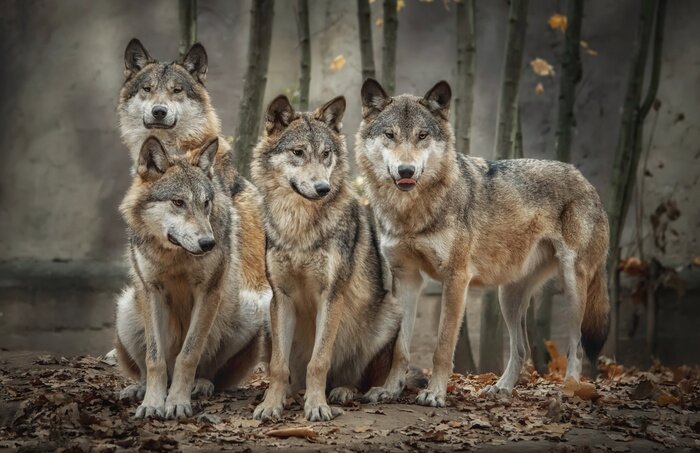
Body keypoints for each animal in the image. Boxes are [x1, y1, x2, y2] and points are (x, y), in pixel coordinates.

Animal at [115, 136, 268, 419]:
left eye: (205, 203)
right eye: (178, 202)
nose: (208, 243)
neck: (175, 256)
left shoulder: (208, 292)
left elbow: (189, 355)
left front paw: (177, 402)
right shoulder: (150, 291)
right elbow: (154, 358)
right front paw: (152, 403)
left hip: (251, 309)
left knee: (209, 372)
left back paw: (200, 385)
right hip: (126, 307)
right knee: (148, 367)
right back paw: (139, 388)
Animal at [250, 95, 404, 422]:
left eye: (325, 154)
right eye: (298, 152)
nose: (323, 188)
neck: (299, 228)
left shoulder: (331, 295)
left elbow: (319, 361)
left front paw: (317, 406)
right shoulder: (280, 297)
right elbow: (278, 366)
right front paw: (270, 405)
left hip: (389, 316)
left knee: (353, 376)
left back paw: (342, 391)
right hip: (266, 318)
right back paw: (293, 394)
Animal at [355, 78, 610, 407]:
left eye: (422, 135)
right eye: (390, 135)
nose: (406, 171)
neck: (411, 212)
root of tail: (585, 179)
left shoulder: (456, 278)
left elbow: (442, 347)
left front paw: (435, 394)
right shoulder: (407, 279)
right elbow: (401, 347)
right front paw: (389, 390)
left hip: (573, 286)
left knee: (575, 347)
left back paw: (569, 390)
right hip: (508, 296)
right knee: (521, 349)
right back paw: (501, 388)